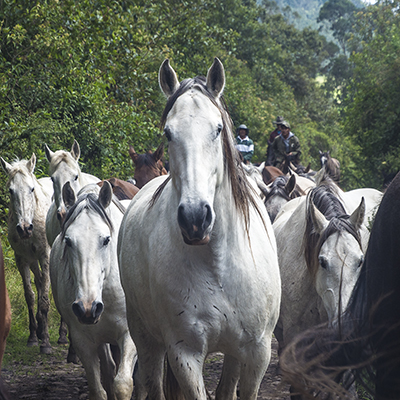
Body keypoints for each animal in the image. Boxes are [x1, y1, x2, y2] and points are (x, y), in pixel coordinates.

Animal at [0, 155, 53, 352]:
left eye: (31, 189)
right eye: (10, 191)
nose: (24, 229)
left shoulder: (46, 256)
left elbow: (44, 297)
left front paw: (46, 342)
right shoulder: (21, 259)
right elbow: (30, 296)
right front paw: (33, 337)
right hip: (32, 261)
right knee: (39, 282)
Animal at [49, 182, 138, 400]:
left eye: (106, 240)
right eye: (68, 241)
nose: (87, 308)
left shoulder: (129, 335)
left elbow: (123, 384)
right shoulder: (82, 340)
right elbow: (98, 389)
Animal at [117, 58, 280, 400]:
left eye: (217, 129)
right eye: (168, 133)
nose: (195, 218)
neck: (217, 263)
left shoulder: (257, 351)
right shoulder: (185, 354)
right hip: (146, 338)